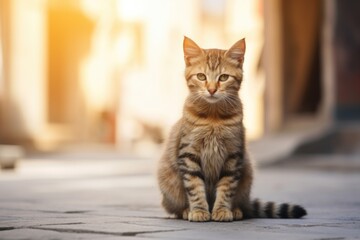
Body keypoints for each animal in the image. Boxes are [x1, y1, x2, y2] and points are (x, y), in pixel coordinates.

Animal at [158, 36, 306, 221]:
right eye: (201, 76)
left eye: (223, 77)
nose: (211, 89)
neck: (213, 117)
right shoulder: (189, 155)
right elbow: (194, 187)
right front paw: (199, 210)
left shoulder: (233, 155)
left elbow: (226, 188)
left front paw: (221, 210)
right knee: (175, 208)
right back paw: (186, 210)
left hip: (247, 174)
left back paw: (236, 210)